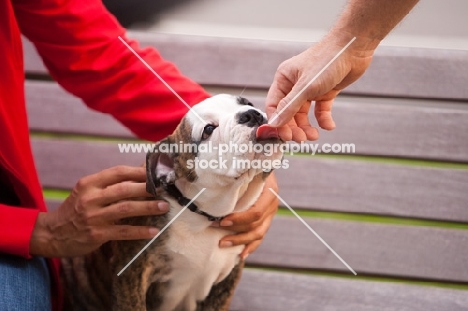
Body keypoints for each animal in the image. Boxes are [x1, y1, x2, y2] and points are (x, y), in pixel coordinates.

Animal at [60, 95, 284, 311]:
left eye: (247, 103)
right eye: (208, 130)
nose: (251, 114)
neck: (201, 215)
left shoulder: (225, 283)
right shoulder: (131, 274)